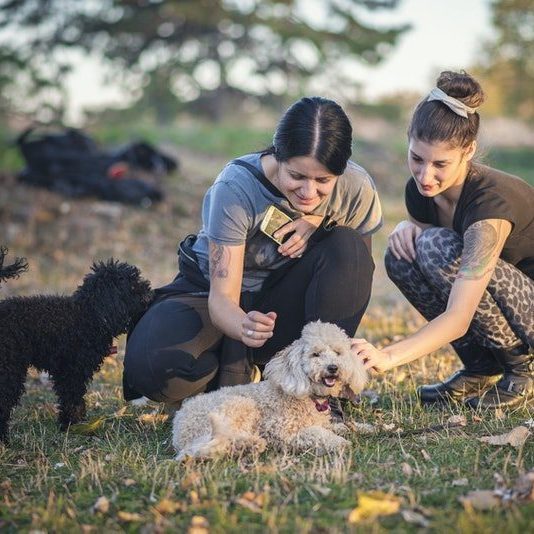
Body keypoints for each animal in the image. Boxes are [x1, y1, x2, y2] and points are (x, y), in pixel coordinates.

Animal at [0, 249, 153, 446]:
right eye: (132, 288)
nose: (149, 296)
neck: (90, 314)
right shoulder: (71, 371)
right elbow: (72, 399)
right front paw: (72, 425)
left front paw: (77, 423)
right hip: (10, 369)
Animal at [173, 322, 368, 460]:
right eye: (316, 354)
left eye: (338, 353)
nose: (333, 367)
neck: (309, 397)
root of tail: (178, 426)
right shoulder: (283, 430)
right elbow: (315, 433)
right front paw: (338, 441)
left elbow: (338, 426)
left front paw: (359, 427)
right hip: (239, 406)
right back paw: (250, 444)